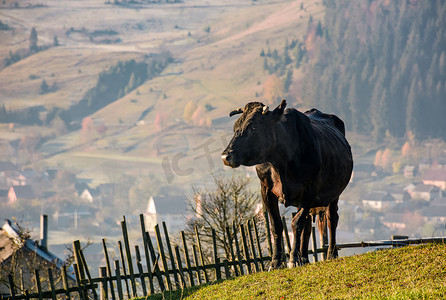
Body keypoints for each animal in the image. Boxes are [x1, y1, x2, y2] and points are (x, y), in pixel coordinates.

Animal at [221, 99, 354, 268]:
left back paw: (330, 253)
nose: (226, 156)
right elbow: (277, 225)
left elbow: (296, 223)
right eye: (235, 127)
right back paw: (304, 257)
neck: (280, 162)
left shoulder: (311, 190)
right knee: (307, 225)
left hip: (334, 194)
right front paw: (276, 262)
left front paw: (293, 258)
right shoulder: (266, 189)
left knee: (332, 219)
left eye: (253, 127)